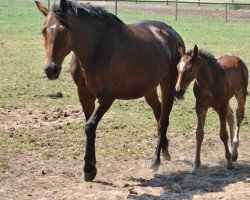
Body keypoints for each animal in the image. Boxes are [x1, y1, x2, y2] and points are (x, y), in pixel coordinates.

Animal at [35, 0, 185, 181]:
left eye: (64, 31)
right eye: (44, 31)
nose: (51, 70)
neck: (96, 49)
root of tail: (171, 32)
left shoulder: (107, 97)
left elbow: (90, 125)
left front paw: (89, 168)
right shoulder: (84, 95)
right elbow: (89, 126)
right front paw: (91, 167)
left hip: (167, 84)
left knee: (163, 121)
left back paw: (156, 161)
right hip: (149, 88)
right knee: (159, 114)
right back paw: (164, 151)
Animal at [175, 44, 249, 173]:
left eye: (190, 69)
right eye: (177, 67)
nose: (178, 91)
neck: (208, 83)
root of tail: (238, 59)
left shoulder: (221, 106)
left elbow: (223, 134)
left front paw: (229, 163)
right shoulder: (200, 107)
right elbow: (199, 134)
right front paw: (196, 164)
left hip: (240, 94)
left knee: (239, 115)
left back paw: (234, 152)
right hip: (226, 102)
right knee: (231, 118)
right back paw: (232, 150)